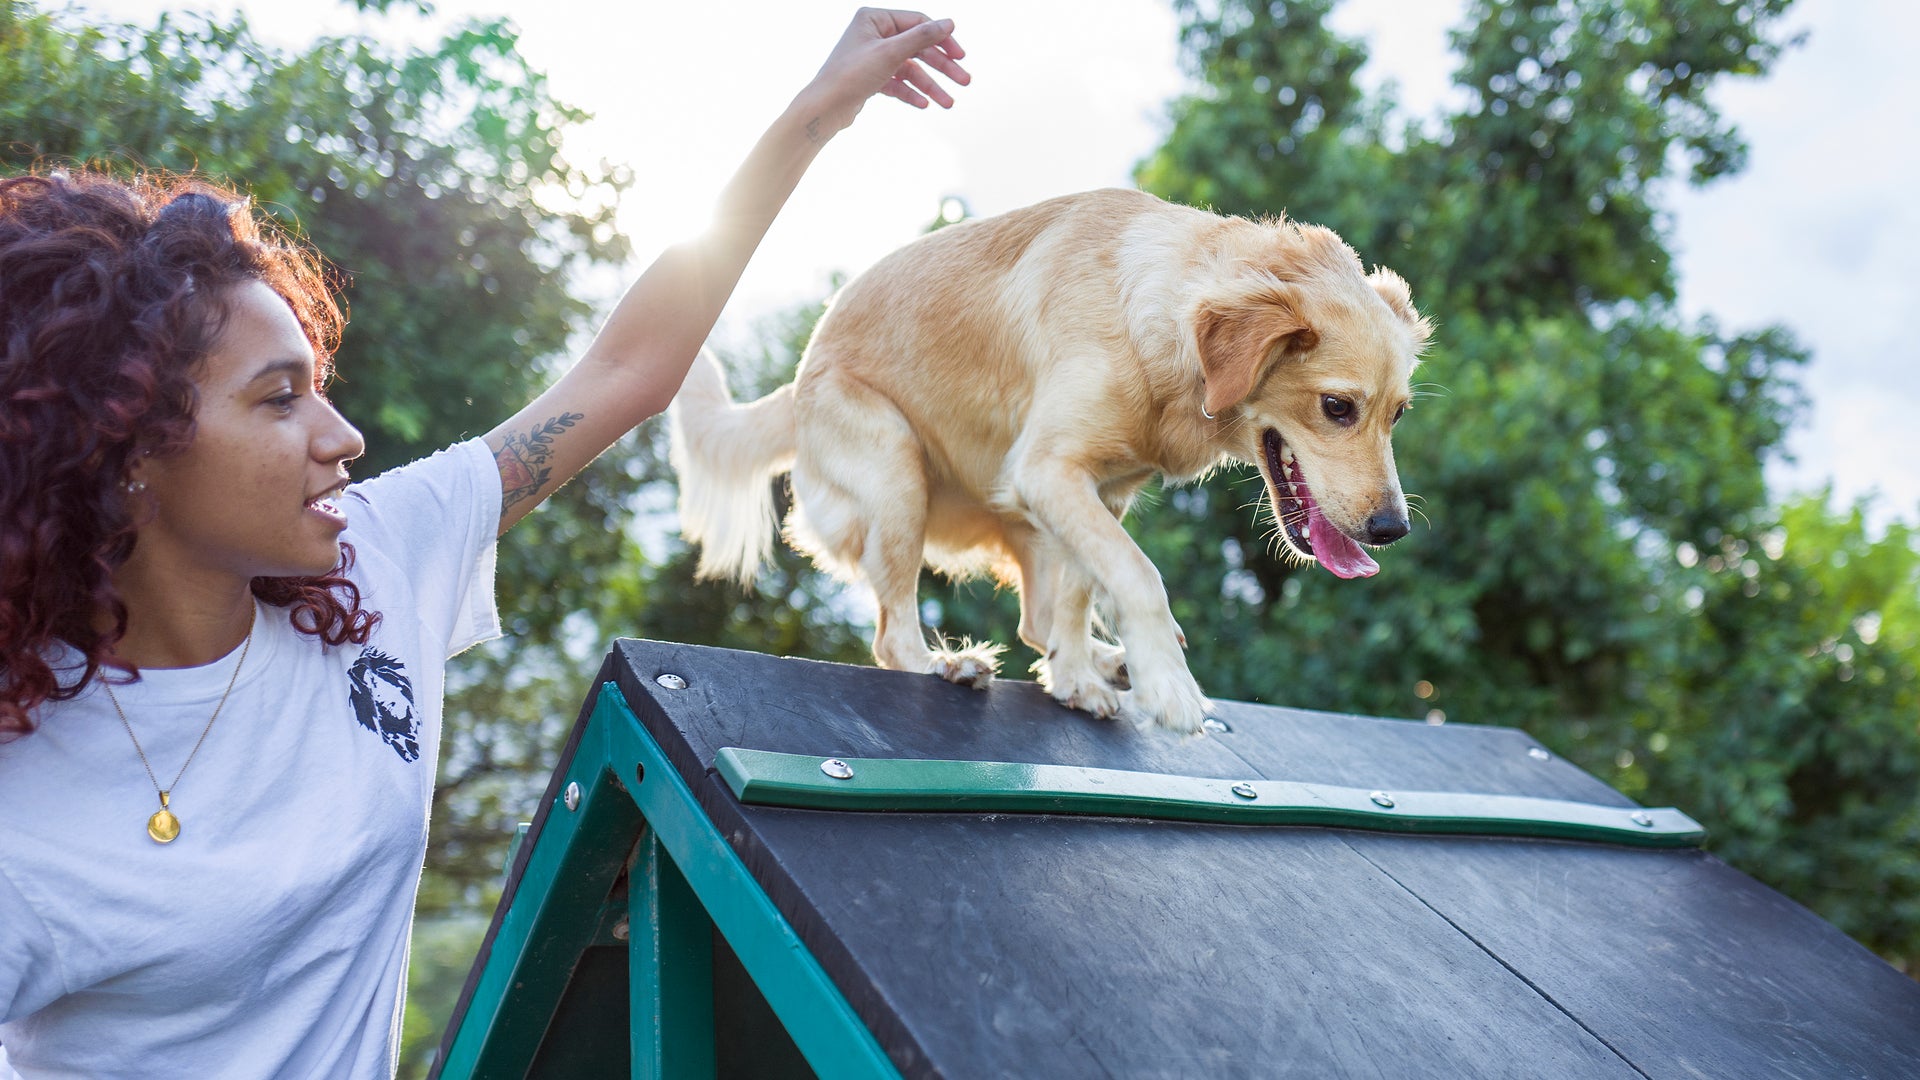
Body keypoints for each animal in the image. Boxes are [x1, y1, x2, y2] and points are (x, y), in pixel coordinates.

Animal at [672, 191, 1428, 730]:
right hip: (898, 471)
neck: (1153, 318)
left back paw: (1097, 662)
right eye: (1337, 407)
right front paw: (1168, 686)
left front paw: (1080, 680)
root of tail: (797, 383)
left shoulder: (1101, 491)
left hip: (1022, 519)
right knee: (892, 637)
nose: (1393, 530)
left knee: (1035, 617)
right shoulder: (1049, 471)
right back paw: (950, 666)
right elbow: (1138, 574)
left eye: (1399, 414)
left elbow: (1082, 590)